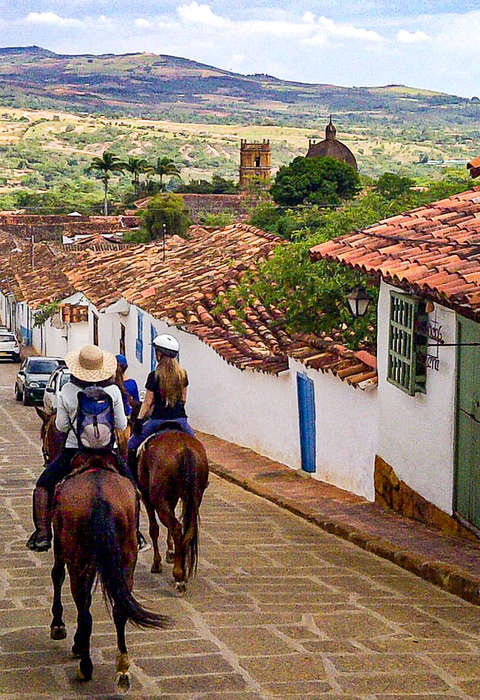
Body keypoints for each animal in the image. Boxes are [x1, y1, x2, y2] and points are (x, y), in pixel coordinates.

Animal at [49, 454, 170, 688]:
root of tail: (100, 497)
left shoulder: (60, 545)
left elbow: (57, 576)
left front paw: (59, 627)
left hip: (77, 557)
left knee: (84, 608)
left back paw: (85, 665)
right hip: (126, 556)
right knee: (120, 608)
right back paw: (122, 667)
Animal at [136, 430, 209, 592]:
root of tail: (185, 449)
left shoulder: (147, 497)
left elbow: (154, 529)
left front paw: (157, 563)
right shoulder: (172, 498)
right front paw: (170, 552)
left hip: (158, 500)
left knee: (176, 527)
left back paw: (179, 575)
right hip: (194, 497)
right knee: (188, 529)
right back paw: (183, 572)